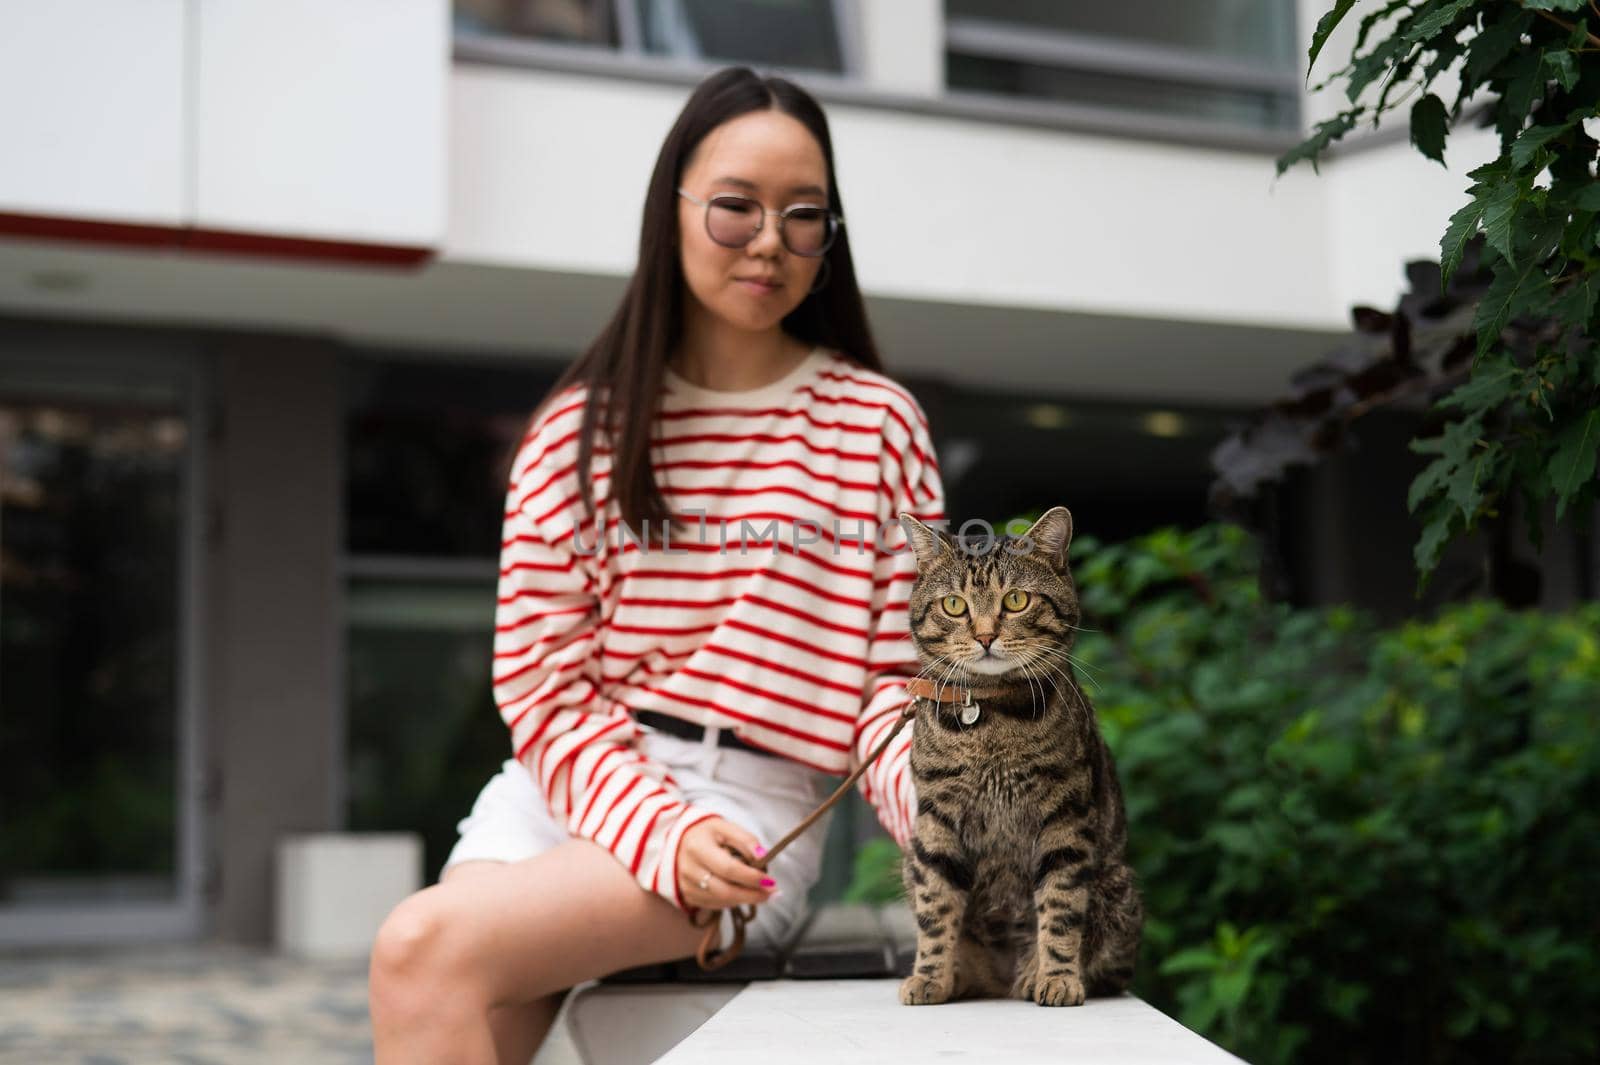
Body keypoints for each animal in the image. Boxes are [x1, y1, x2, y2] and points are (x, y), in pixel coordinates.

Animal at [896, 505, 1145, 1004]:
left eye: (1015, 601)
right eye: (954, 605)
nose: (985, 636)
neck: (990, 719)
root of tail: (999, 983)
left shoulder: (1065, 817)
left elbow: (1061, 907)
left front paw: (1057, 976)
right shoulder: (936, 822)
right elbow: (935, 908)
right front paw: (930, 975)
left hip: (1119, 889)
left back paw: (1032, 972)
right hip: (910, 859)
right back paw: (962, 975)